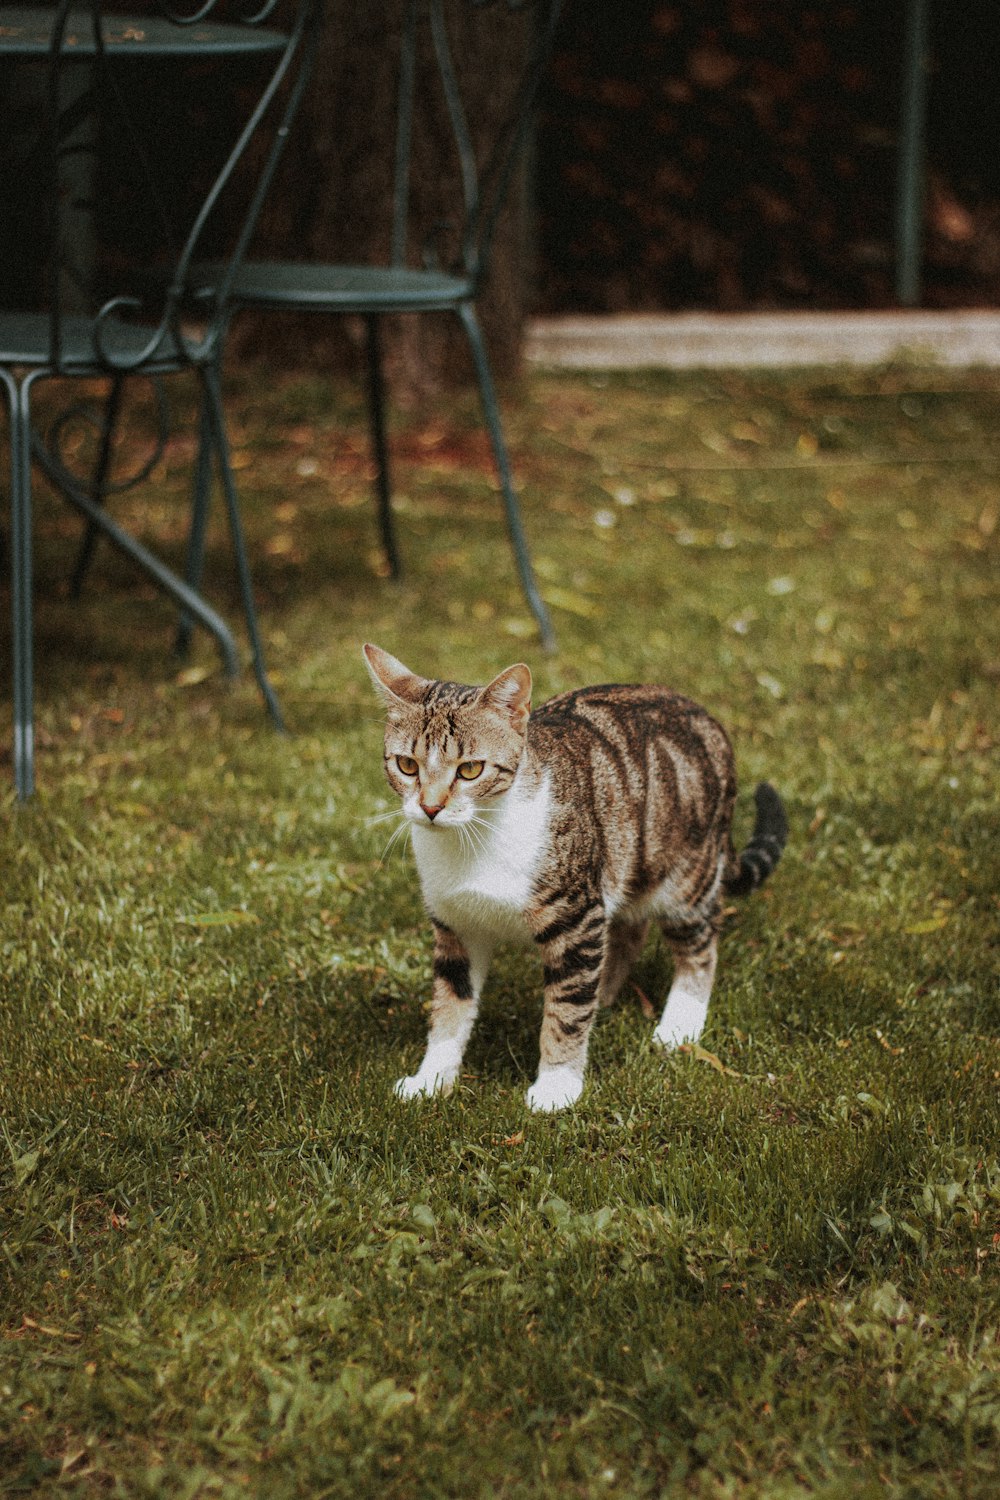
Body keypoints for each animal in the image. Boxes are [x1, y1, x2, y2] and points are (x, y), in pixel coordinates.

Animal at [364, 645, 785, 1116]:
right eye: (407, 765)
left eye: (470, 770)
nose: (431, 808)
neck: (472, 843)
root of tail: (709, 720)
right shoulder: (457, 924)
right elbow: (451, 1004)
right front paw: (432, 1079)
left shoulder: (576, 916)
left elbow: (565, 1012)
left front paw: (555, 1087)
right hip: (624, 864)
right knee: (627, 931)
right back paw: (604, 995)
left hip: (684, 877)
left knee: (698, 944)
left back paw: (679, 1023)